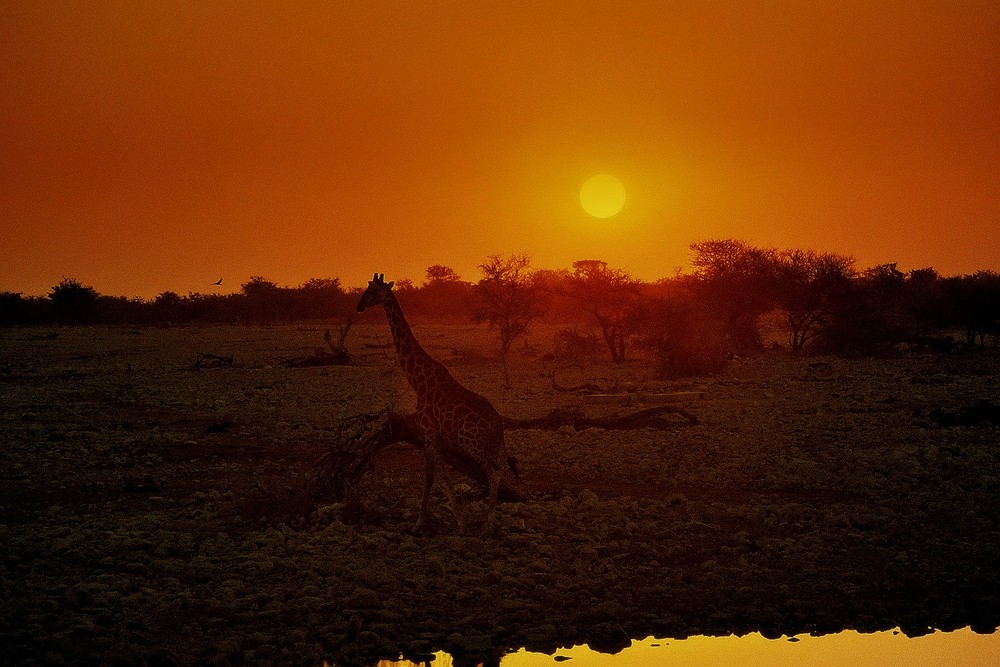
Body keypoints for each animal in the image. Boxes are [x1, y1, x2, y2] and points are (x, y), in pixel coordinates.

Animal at [356, 272, 524, 532]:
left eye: (371, 291)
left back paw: (488, 524)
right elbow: (431, 476)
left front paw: (456, 523)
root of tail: (499, 428)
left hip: (471, 443)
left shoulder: (429, 431)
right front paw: (421, 523)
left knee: (494, 473)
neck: (417, 380)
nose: (359, 306)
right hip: (491, 447)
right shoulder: (431, 435)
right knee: (499, 469)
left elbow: (439, 476)